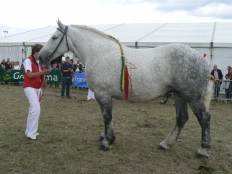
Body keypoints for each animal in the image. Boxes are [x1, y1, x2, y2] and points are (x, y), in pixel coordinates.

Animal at [38, 19, 214, 158]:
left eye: (54, 37)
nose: (40, 57)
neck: (98, 53)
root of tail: (202, 60)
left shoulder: (102, 94)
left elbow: (106, 117)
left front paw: (107, 142)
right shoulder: (108, 96)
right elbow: (110, 118)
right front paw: (105, 136)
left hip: (192, 96)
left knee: (204, 118)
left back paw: (203, 150)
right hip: (179, 94)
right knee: (182, 118)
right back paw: (165, 144)